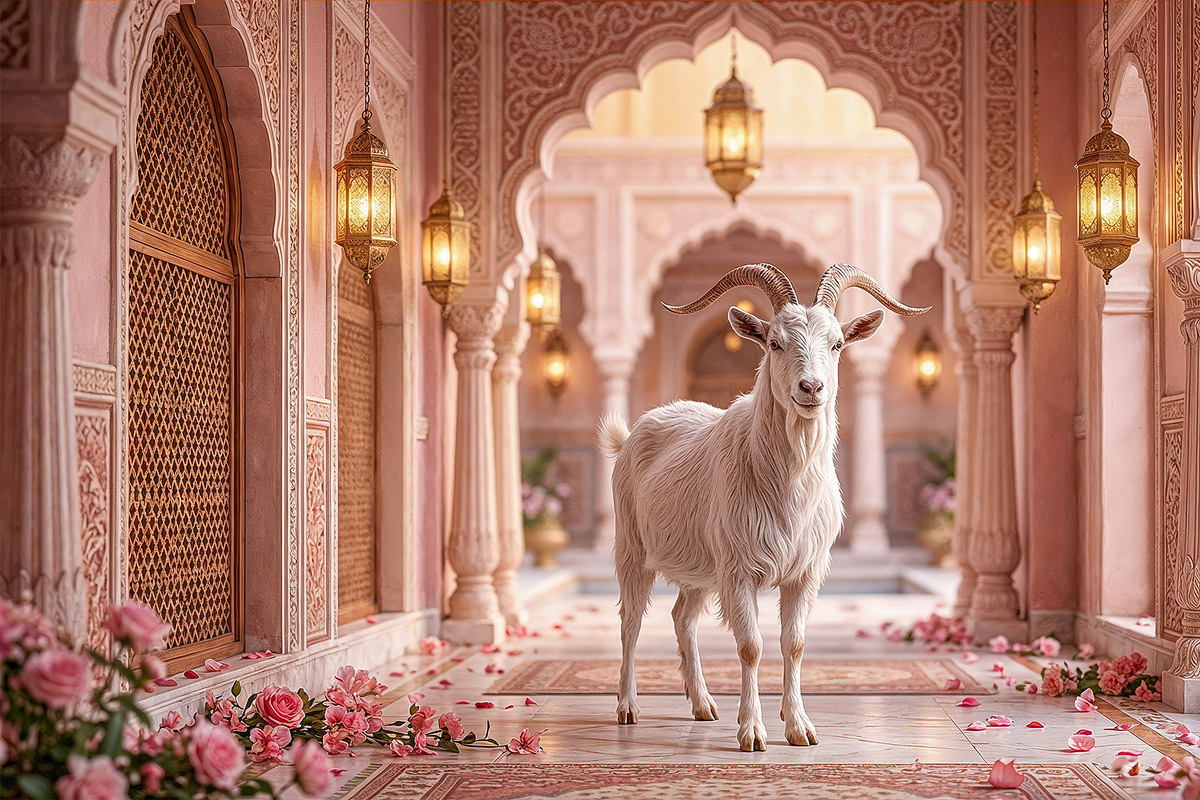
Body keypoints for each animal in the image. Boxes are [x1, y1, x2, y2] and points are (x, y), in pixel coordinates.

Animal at [598, 263, 929, 751]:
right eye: (774, 342)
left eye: (837, 343)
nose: (812, 387)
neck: (783, 484)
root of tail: (630, 435)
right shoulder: (738, 569)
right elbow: (751, 646)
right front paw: (753, 732)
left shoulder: (803, 572)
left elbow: (795, 643)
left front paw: (799, 726)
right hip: (632, 546)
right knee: (631, 622)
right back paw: (627, 707)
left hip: (701, 566)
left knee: (682, 619)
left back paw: (702, 705)